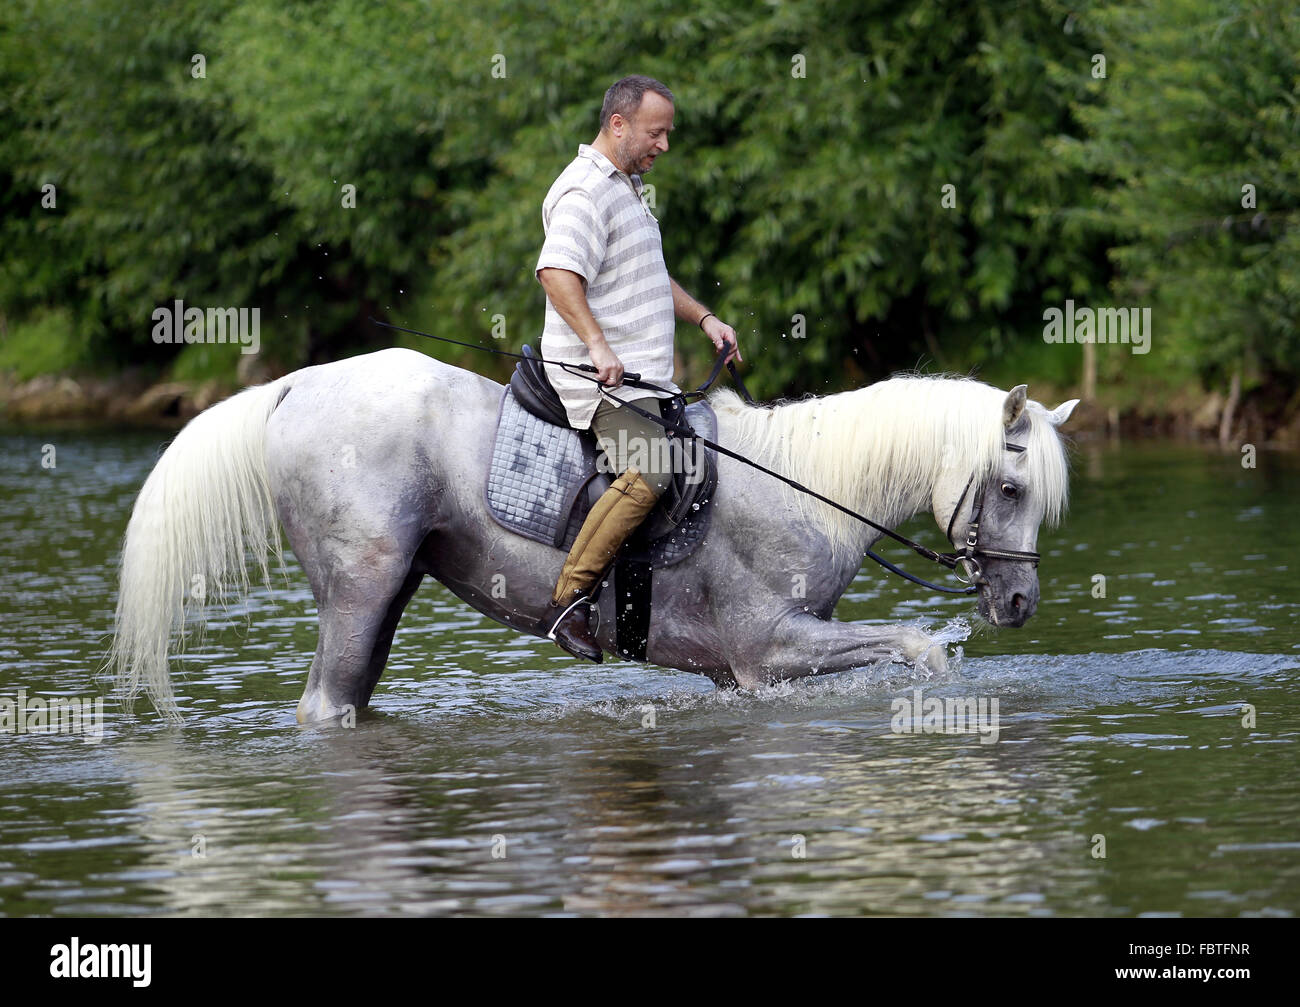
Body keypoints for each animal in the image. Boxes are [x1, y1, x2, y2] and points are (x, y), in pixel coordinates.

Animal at [107, 347, 1078, 723]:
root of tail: (294, 384)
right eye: (1009, 486)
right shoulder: (770, 648)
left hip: (386, 593)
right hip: (361, 588)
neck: (808, 488)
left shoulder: (743, 671)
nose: (1019, 601)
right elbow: (920, 647)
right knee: (325, 706)